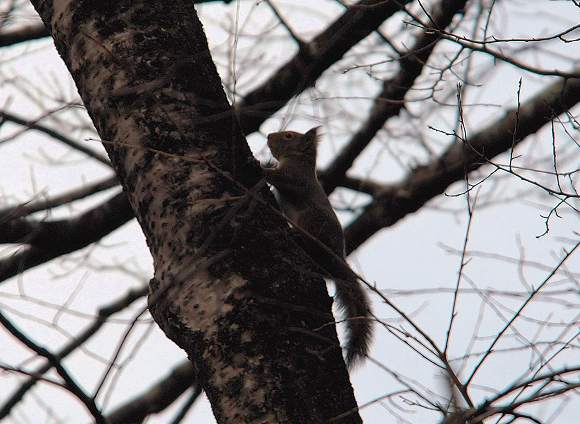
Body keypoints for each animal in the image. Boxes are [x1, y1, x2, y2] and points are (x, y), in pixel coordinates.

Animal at [262, 126, 374, 368]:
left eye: (288, 136)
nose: (268, 136)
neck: (299, 160)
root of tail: (338, 258)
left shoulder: (296, 178)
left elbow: (281, 179)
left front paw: (260, 165)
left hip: (311, 220)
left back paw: (297, 236)